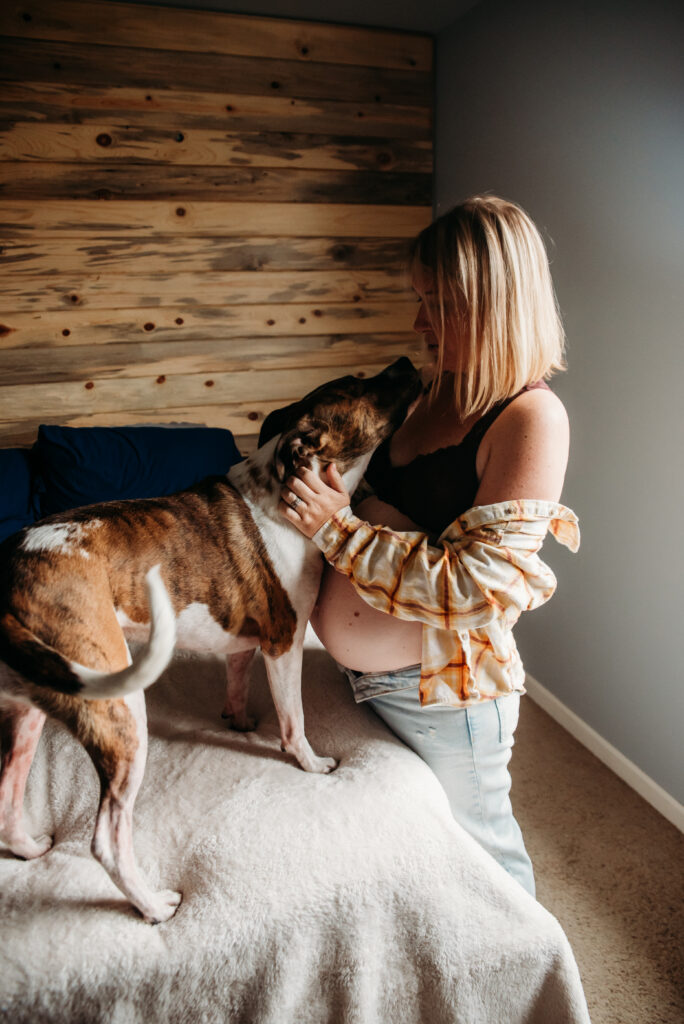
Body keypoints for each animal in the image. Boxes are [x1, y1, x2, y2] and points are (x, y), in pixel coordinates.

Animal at [0, 356, 419, 925]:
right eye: (358, 386)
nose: (408, 361)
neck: (287, 486)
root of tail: (8, 576)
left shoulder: (244, 645)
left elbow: (237, 684)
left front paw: (238, 722)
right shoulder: (284, 644)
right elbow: (294, 720)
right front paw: (311, 764)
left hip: (28, 712)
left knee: (7, 797)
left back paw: (29, 848)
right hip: (121, 712)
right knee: (107, 839)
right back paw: (153, 906)